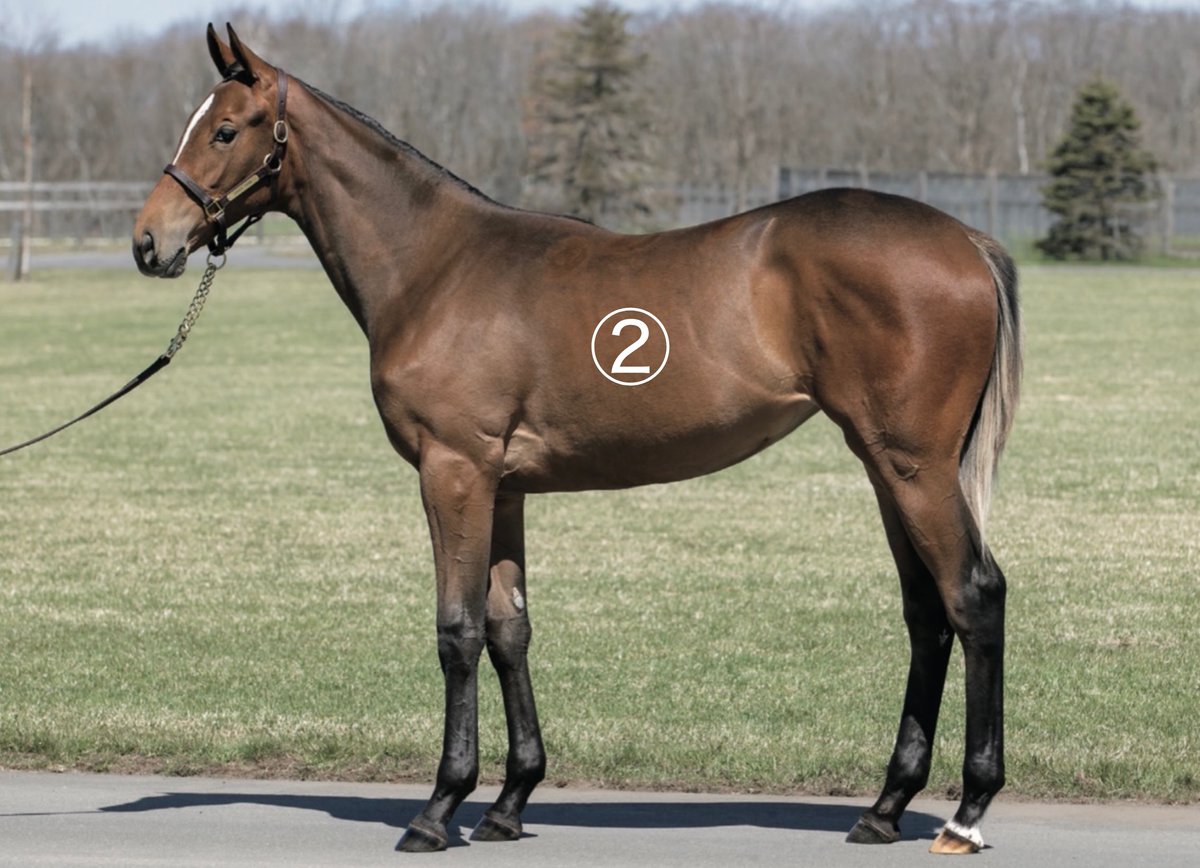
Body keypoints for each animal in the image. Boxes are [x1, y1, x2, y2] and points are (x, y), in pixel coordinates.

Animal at [133, 24, 1021, 856]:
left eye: (225, 130)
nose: (149, 242)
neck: (436, 267)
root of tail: (967, 241)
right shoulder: (503, 487)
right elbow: (508, 629)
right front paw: (509, 801)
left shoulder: (452, 472)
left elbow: (457, 631)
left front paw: (438, 808)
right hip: (883, 466)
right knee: (927, 612)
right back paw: (885, 806)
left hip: (914, 468)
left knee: (973, 596)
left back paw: (968, 810)